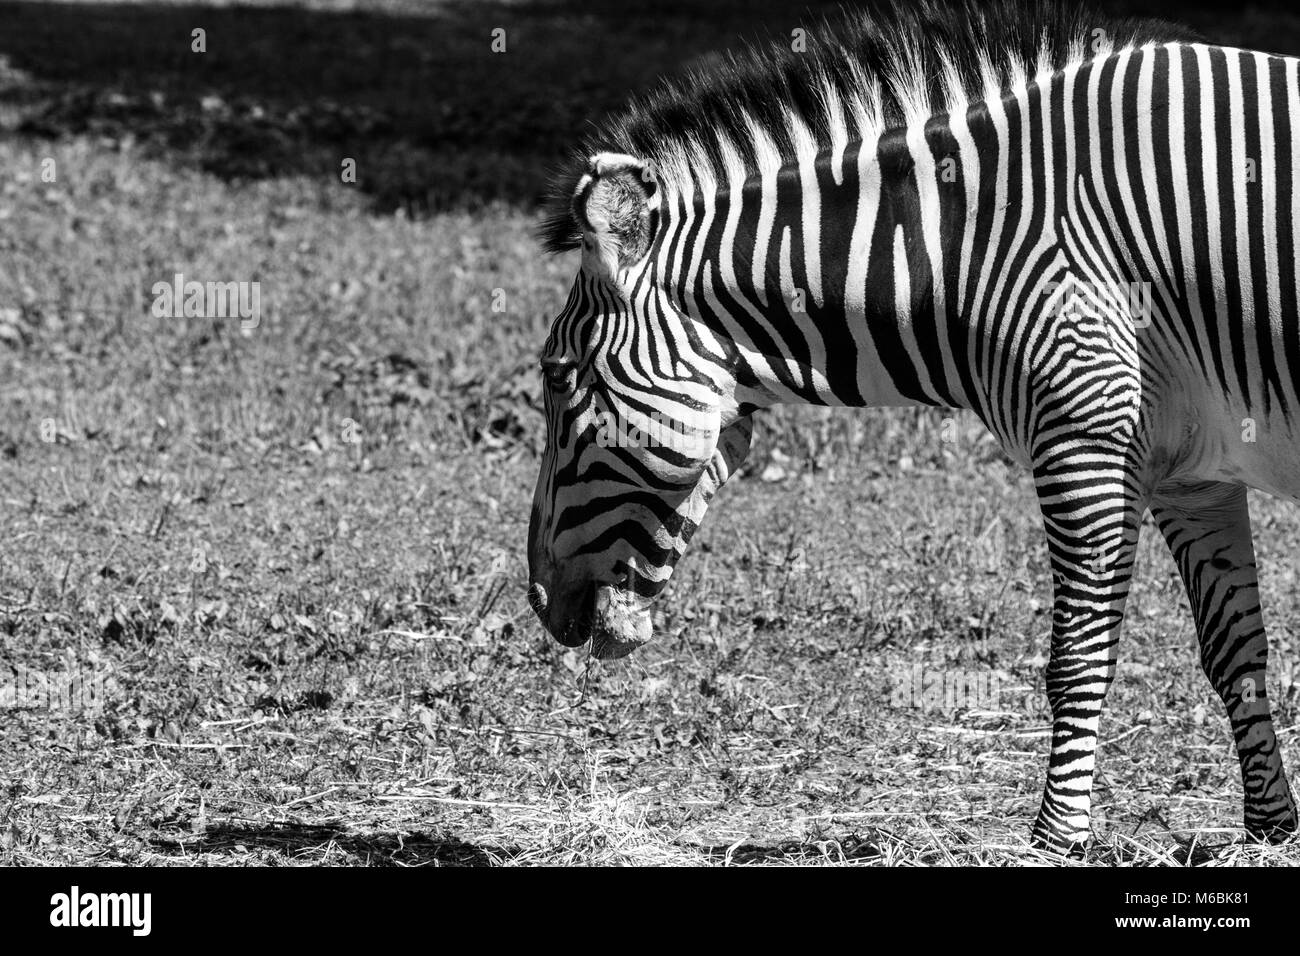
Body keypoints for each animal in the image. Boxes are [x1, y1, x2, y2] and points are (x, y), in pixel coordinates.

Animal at [525, 0, 1300, 852]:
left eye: (556, 376)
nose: (540, 601)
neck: (975, 240)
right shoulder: (1193, 474)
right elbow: (1237, 653)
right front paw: (1271, 827)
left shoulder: (1082, 438)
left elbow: (1078, 657)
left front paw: (1053, 840)